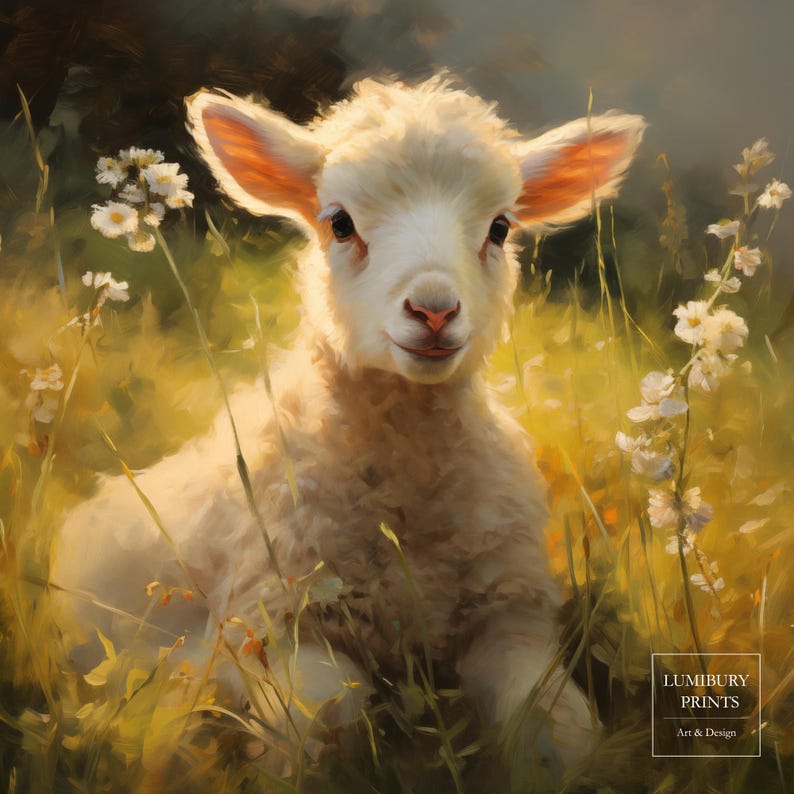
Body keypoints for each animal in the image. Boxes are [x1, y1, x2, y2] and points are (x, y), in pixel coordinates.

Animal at [53, 74, 644, 772]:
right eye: (340, 223)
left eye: (500, 228)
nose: (434, 310)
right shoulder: (275, 625)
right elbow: (324, 721)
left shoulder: (512, 618)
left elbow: (558, 726)